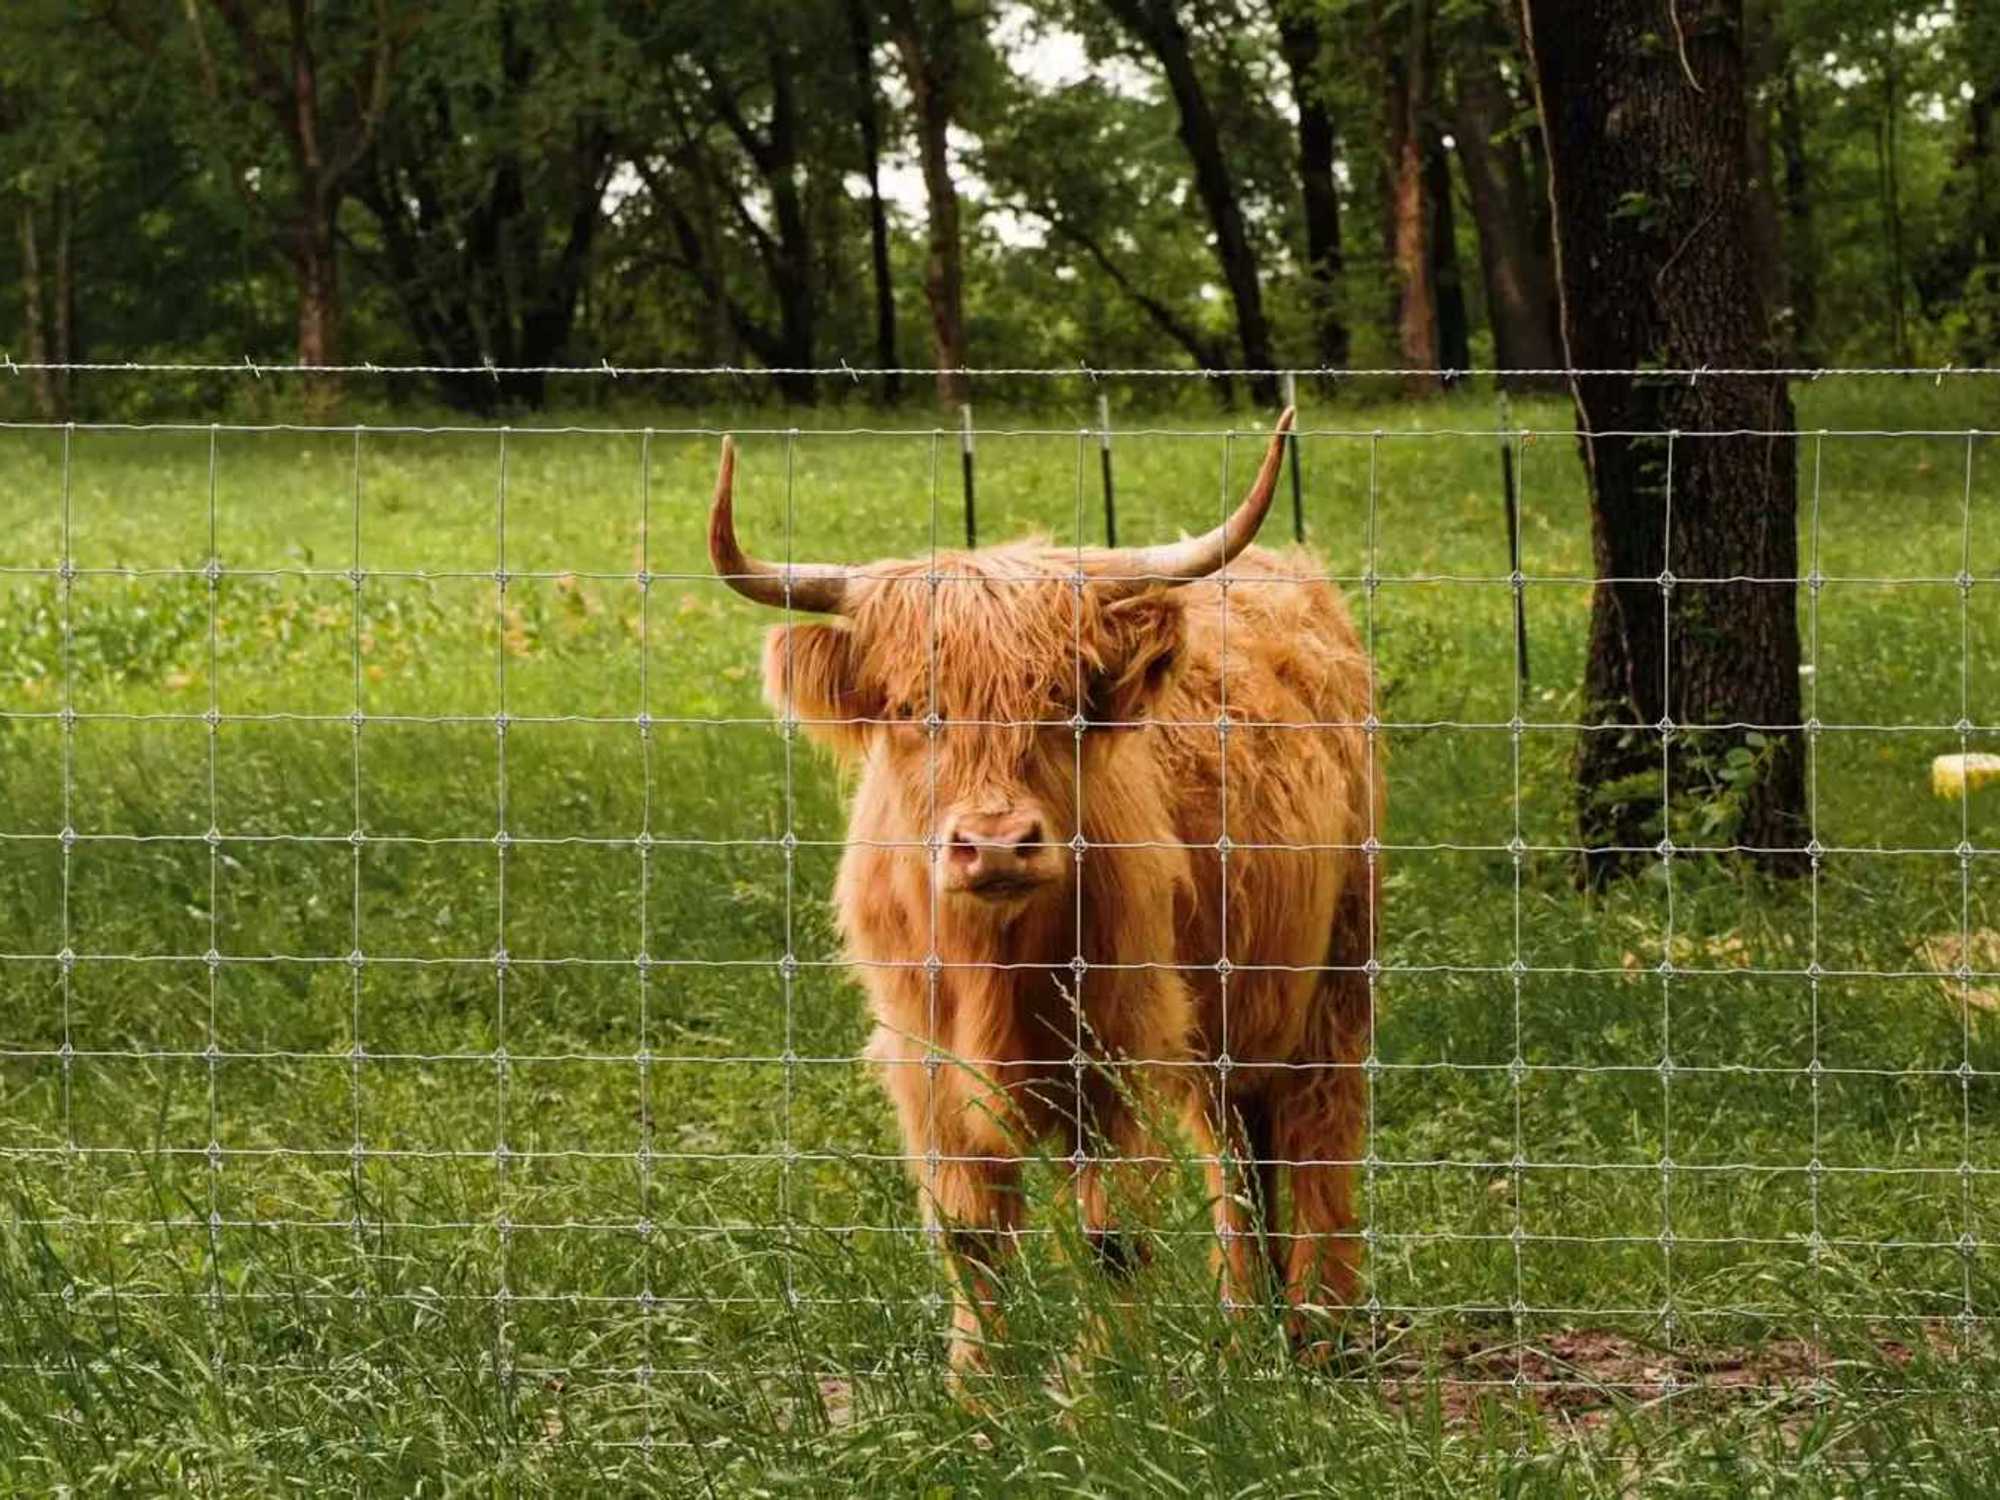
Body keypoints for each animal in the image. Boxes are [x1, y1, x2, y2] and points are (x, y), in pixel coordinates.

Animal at [708, 408, 1382, 1376]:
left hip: (1335, 971)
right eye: (912, 710)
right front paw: (976, 1394)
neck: (997, 964)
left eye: (1062, 701)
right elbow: (969, 1236)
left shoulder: (1118, 1047)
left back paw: (1320, 1332)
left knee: (1320, 1132)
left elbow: (1112, 1241)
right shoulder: (923, 1058)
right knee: (1238, 1153)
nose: (995, 844)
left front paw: (1103, 1390)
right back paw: (1243, 1328)